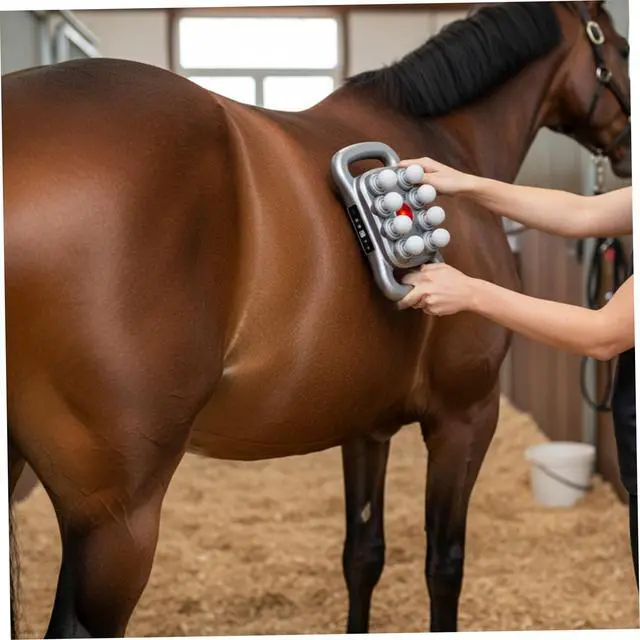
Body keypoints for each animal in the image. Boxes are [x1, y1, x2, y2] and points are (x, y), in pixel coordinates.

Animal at [3, 1, 630, 637]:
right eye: (623, 49)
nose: (627, 150)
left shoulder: (365, 424)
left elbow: (363, 555)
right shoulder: (465, 416)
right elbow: (444, 563)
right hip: (117, 515)